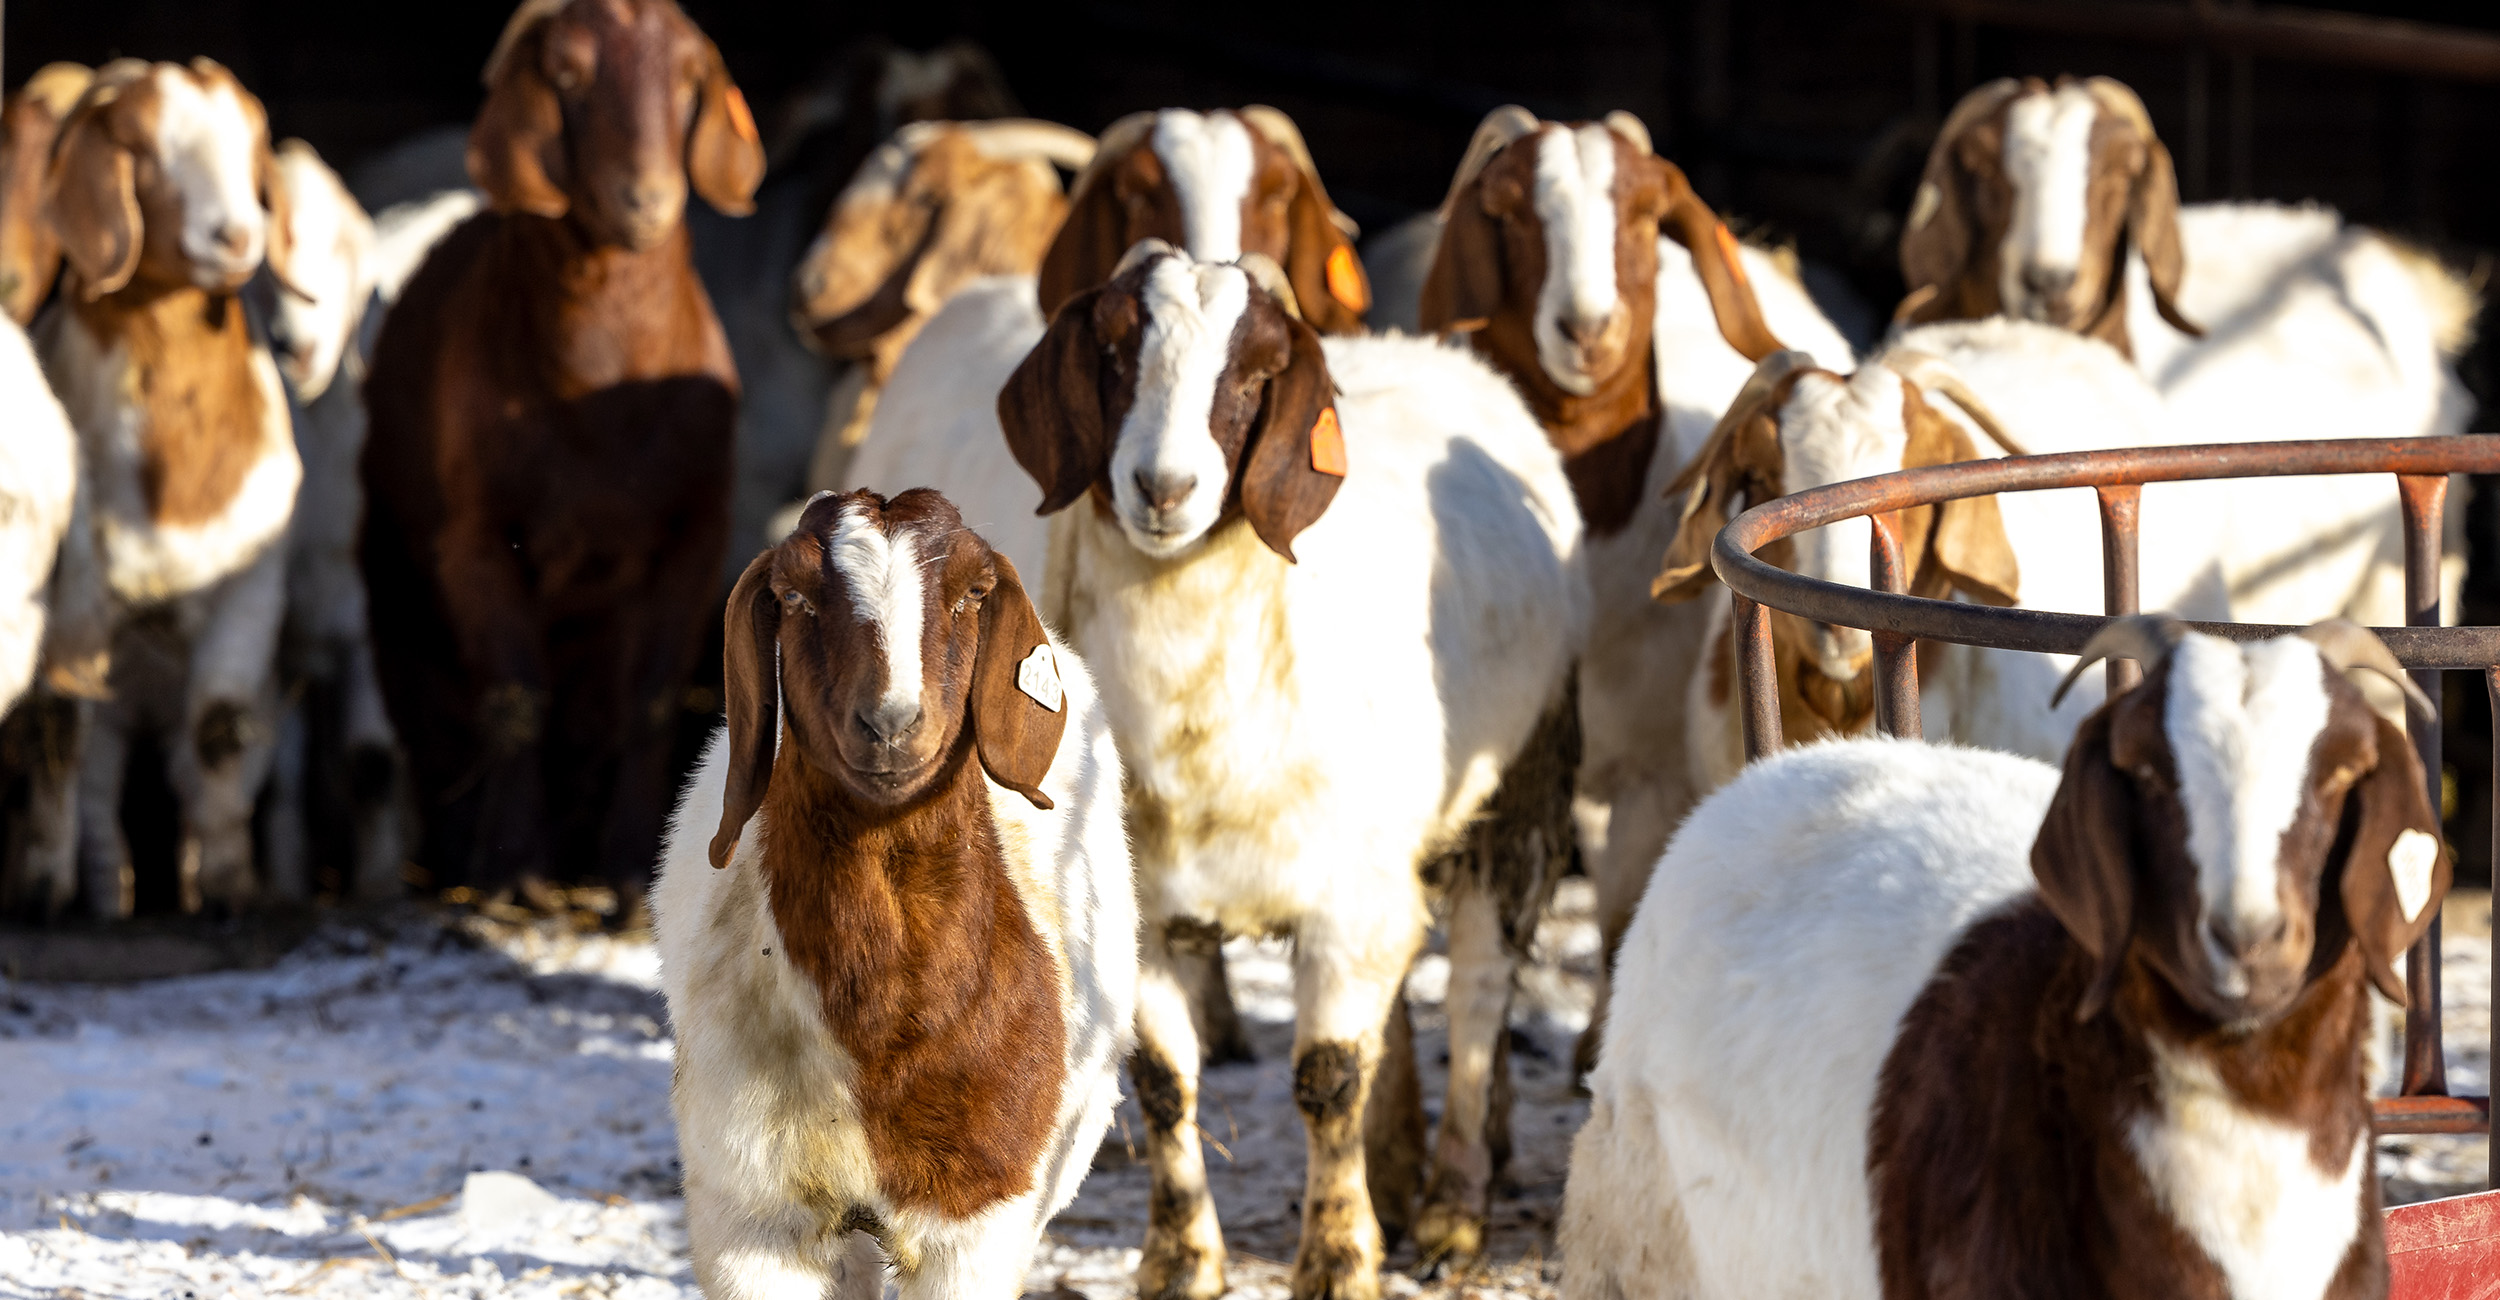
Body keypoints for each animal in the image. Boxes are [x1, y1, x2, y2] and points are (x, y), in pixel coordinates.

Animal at [29, 58, 302, 916]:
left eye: (249, 145)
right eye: (143, 150)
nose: (237, 236)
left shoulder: (253, 583)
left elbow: (219, 726)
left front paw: (229, 887)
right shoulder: (70, 605)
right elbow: (56, 731)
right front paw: (44, 890)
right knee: (97, 777)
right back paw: (101, 891)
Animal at [359, 0, 765, 903]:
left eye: (689, 77)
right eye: (569, 74)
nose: (645, 199)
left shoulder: (699, 530)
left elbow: (653, 696)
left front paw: (632, 867)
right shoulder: (477, 535)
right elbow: (515, 696)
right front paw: (512, 868)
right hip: (396, 590)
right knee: (433, 726)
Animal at [653, 487, 1133, 1300]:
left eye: (973, 593)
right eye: (792, 596)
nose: (890, 723)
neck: (888, 1028)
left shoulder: (982, 1213)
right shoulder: (751, 1213)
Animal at [998, 242, 1587, 1299]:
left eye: (1258, 372)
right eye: (1112, 348)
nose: (1163, 488)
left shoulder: (1346, 906)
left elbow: (1327, 1081)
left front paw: (1340, 1258)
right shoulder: (1147, 914)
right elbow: (1165, 1086)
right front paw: (1181, 1260)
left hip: (1521, 789)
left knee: (1477, 1001)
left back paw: (1449, 1212)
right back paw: (1396, 1172)